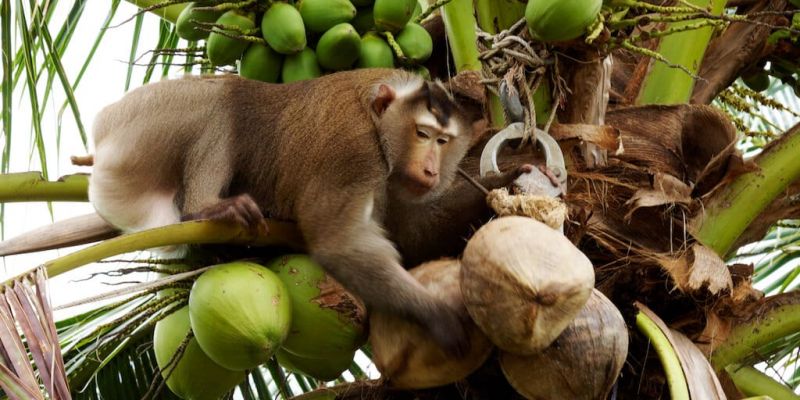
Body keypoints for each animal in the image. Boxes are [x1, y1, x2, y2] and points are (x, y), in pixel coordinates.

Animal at [85, 68, 533, 355]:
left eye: (442, 141)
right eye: (421, 134)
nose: (430, 169)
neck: (378, 119)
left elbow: (412, 233)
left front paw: (506, 178)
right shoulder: (353, 152)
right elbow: (339, 244)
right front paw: (435, 314)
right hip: (139, 126)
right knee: (223, 100)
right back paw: (203, 208)